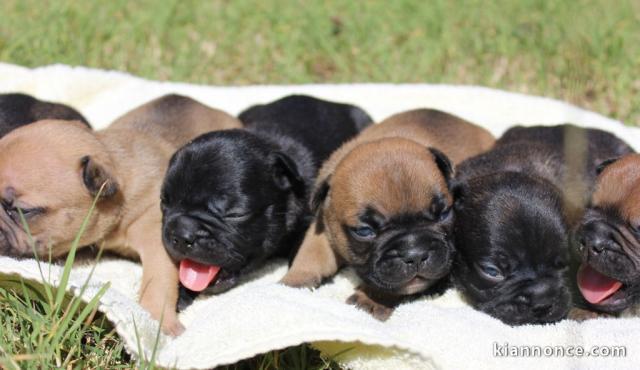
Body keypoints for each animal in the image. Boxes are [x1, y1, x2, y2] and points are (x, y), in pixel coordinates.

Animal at [280, 108, 496, 320]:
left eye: (443, 214)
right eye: (364, 231)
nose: (416, 254)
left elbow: (394, 285)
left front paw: (370, 299)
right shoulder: (324, 225)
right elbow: (311, 253)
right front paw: (295, 282)